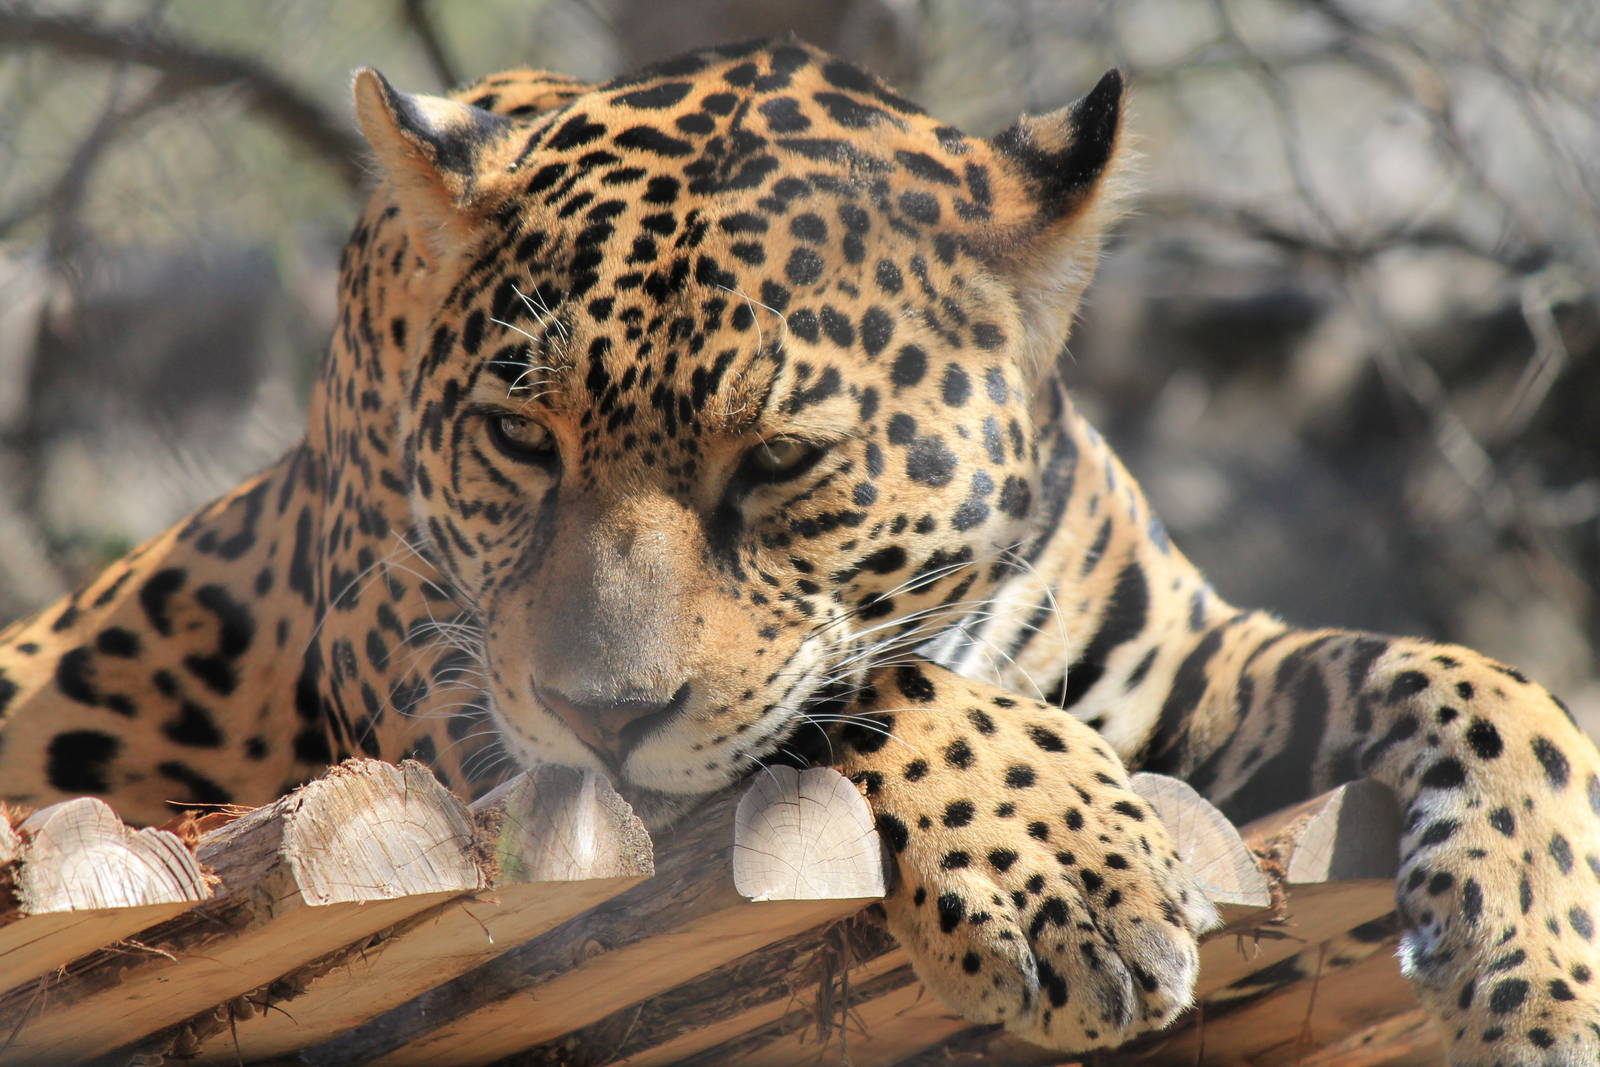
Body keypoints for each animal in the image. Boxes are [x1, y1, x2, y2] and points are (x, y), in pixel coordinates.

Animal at [2, 37, 1597, 1062]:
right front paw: (1063, 871)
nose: (600, 715)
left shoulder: (1190, 662)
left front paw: (1540, 962)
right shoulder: (444, 681)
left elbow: (1491, 684)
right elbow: (871, 689)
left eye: (777, 459)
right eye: (520, 439)